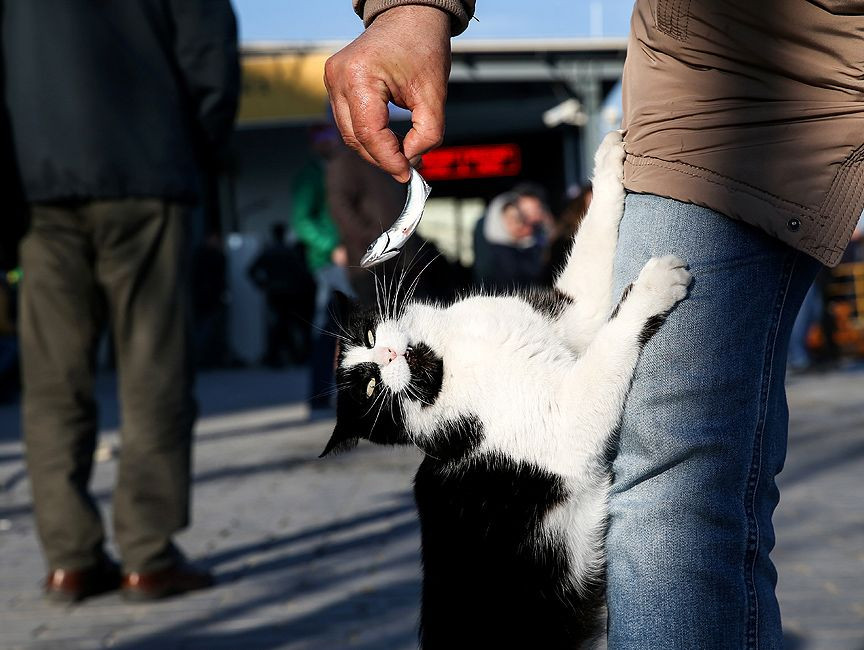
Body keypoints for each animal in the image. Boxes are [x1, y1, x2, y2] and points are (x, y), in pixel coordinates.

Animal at [320, 129, 692, 644]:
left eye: (370, 338)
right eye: (371, 391)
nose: (388, 358)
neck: (449, 358)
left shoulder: (569, 316)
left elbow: (591, 258)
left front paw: (608, 161)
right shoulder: (564, 425)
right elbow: (612, 338)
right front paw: (654, 286)